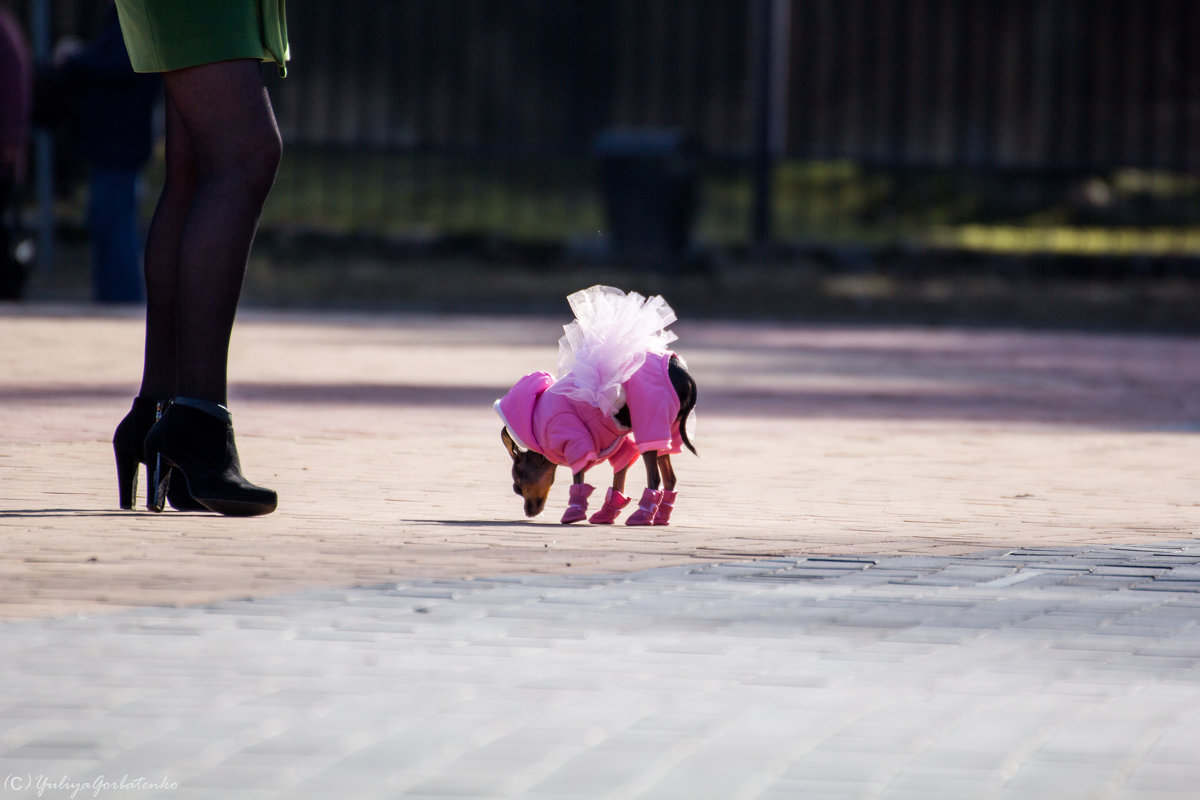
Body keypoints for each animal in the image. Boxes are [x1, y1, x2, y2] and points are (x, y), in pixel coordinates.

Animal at [494, 286, 696, 525]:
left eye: (517, 488)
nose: (528, 512)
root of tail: (681, 371)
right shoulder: (619, 447)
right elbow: (619, 478)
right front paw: (607, 513)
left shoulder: (574, 440)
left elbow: (578, 477)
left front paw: (574, 512)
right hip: (666, 430)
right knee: (670, 478)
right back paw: (661, 517)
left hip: (650, 422)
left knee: (654, 478)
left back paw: (642, 516)